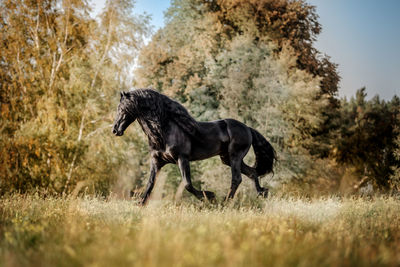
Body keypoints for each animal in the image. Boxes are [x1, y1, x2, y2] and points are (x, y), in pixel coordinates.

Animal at [112, 89, 276, 204]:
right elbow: (150, 184)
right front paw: (140, 204)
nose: (115, 130)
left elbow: (187, 184)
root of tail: (247, 128)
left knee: (237, 179)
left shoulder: (182, 159)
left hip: (235, 157)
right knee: (252, 173)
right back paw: (262, 193)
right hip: (227, 159)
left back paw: (225, 202)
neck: (164, 132)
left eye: (123, 109)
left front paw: (209, 196)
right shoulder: (157, 161)